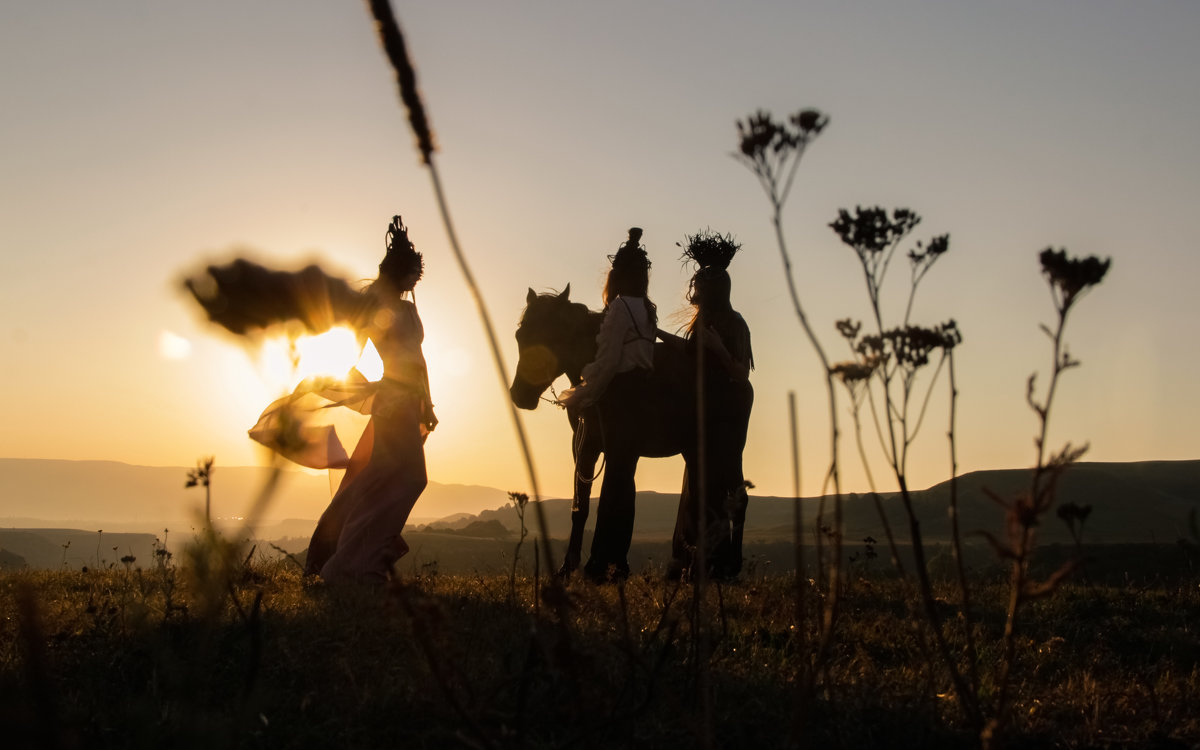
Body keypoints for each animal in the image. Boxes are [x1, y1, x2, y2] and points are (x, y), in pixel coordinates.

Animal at [506, 283, 696, 576]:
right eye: (520, 335)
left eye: (553, 335)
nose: (520, 395)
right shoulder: (585, 446)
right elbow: (582, 505)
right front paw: (568, 566)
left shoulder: (621, 450)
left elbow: (612, 501)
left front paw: (599, 566)